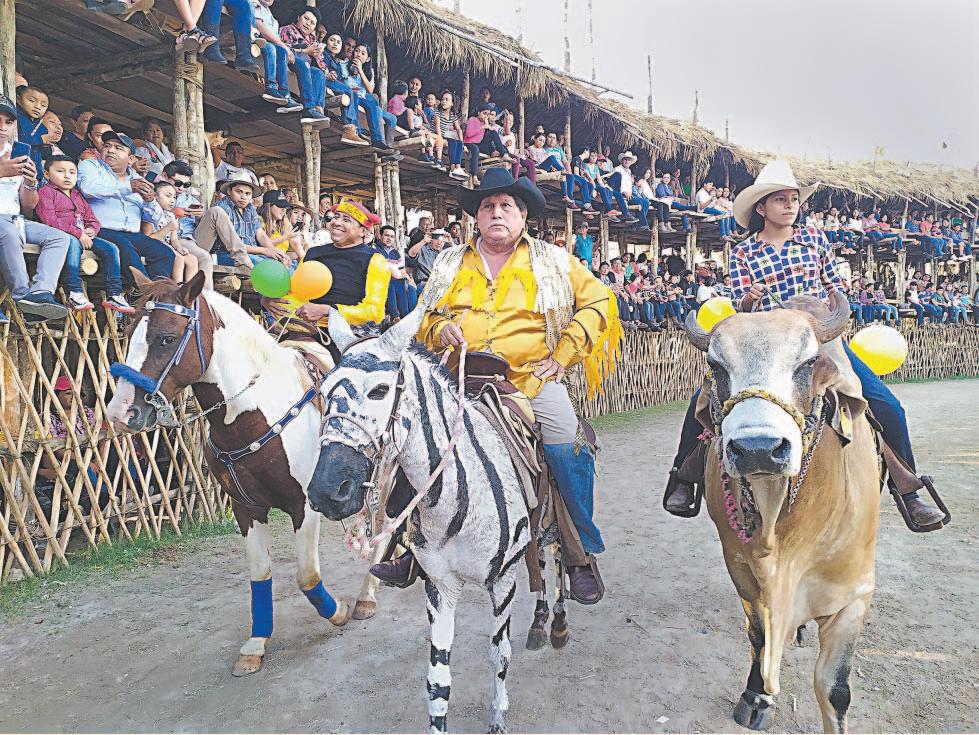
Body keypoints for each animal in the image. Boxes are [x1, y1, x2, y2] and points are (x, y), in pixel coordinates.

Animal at [105, 271, 385, 677]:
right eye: (127, 334)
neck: (253, 415)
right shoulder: (245, 508)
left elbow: (307, 575)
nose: (120, 411)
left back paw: (366, 596)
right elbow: (260, 573)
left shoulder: (304, 505)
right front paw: (256, 644)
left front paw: (338, 612)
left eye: (167, 338)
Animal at [307, 304, 558, 734]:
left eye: (379, 391)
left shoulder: (503, 582)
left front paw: (498, 716)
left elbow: (500, 653)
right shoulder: (439, 586)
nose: (327, 490)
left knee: (552, 559)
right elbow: (437, 682)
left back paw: (553, 621)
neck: (457, 495)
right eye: (324, 394)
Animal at [684, 291, 882, 733]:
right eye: (716, 366)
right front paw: (756, 696)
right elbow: (759, 637)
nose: (758, 448)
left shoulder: (855, 594)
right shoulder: (742, 571)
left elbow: (834, 688)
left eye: (807, 363)